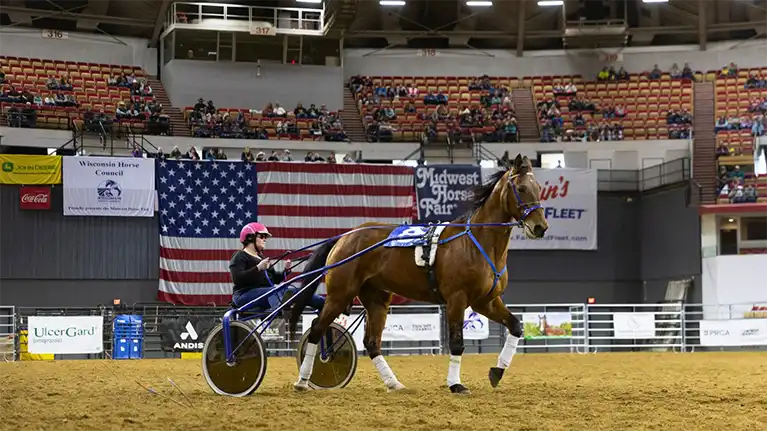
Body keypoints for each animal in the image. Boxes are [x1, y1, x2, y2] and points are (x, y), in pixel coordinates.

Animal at [288, 154, 549, 394]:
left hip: (377, 299)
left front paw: (497, 371)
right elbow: (457, 343)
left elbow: (515, 326)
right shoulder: (457, 299)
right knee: (317, 329)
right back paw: (303, 380)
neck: (475, 243)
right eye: (522, 188)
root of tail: (345, 236)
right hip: (339, 295)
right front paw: (455, 384)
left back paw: (393, 383)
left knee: (371, 343)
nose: (540, 227)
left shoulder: (486, 301)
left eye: (538, 188)